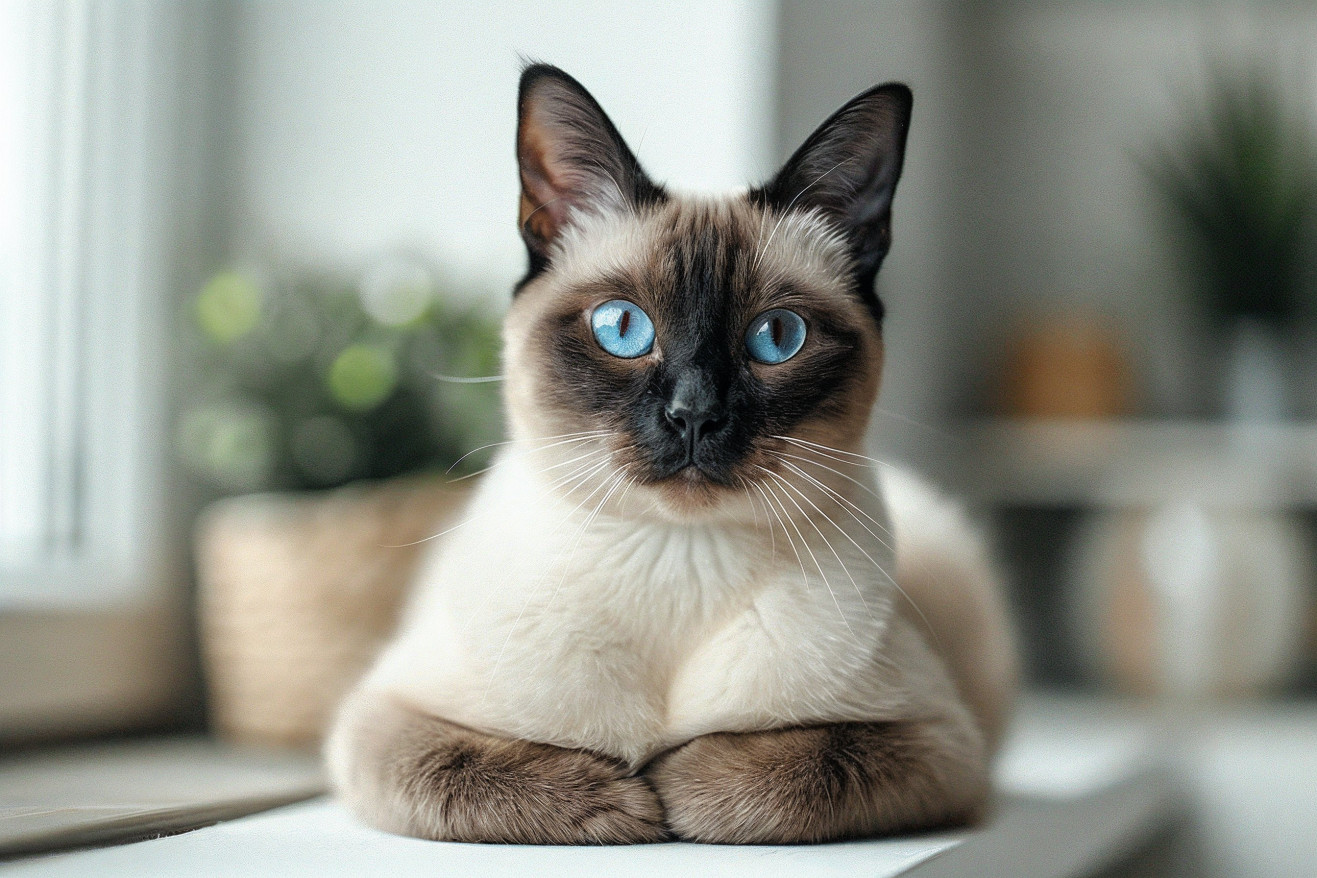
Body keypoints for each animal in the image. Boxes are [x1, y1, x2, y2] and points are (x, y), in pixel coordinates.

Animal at [329, 61, 1016, 842]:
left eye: (777, 338)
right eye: (622, 328)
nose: (694, 415)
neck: (676, 555)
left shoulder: (938, 740)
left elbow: (784, 766)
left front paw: (670, 785)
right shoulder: (383, 722)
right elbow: (492, 770)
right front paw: (627, 801)